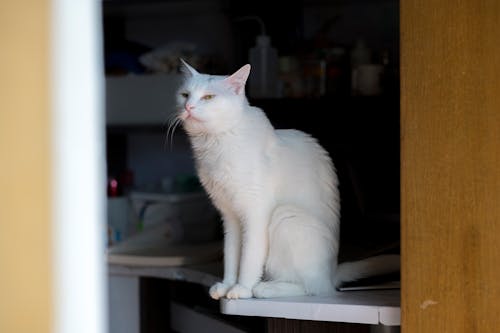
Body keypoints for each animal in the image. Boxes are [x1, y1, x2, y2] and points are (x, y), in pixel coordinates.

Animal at [174, 59, 400, 298]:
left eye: (208, 97)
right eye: (185, 95)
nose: (188, 107)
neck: (215, 143)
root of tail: (331, 273)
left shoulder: (255, 213)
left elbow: (248, 258)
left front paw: (241, 288)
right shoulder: (230, 218)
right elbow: (232, 255)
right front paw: (227, 285)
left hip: (286, 216)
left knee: (311, 288)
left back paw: (264, 288)